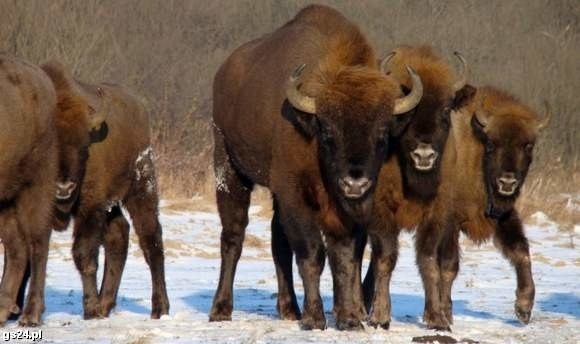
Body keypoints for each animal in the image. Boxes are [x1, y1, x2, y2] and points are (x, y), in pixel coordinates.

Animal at [211, 4, 424, 330]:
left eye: (382, 134)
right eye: (328, 132)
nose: (354, 183)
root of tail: (224, 73)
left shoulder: (341, 209)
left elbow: (344, 256)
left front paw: (349, 318)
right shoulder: (295, 196)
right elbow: (312, 253)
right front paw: (315, 318)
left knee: (278, 244)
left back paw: (289, 309)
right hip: (229, 168)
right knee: (233, 236)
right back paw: (221, 309)